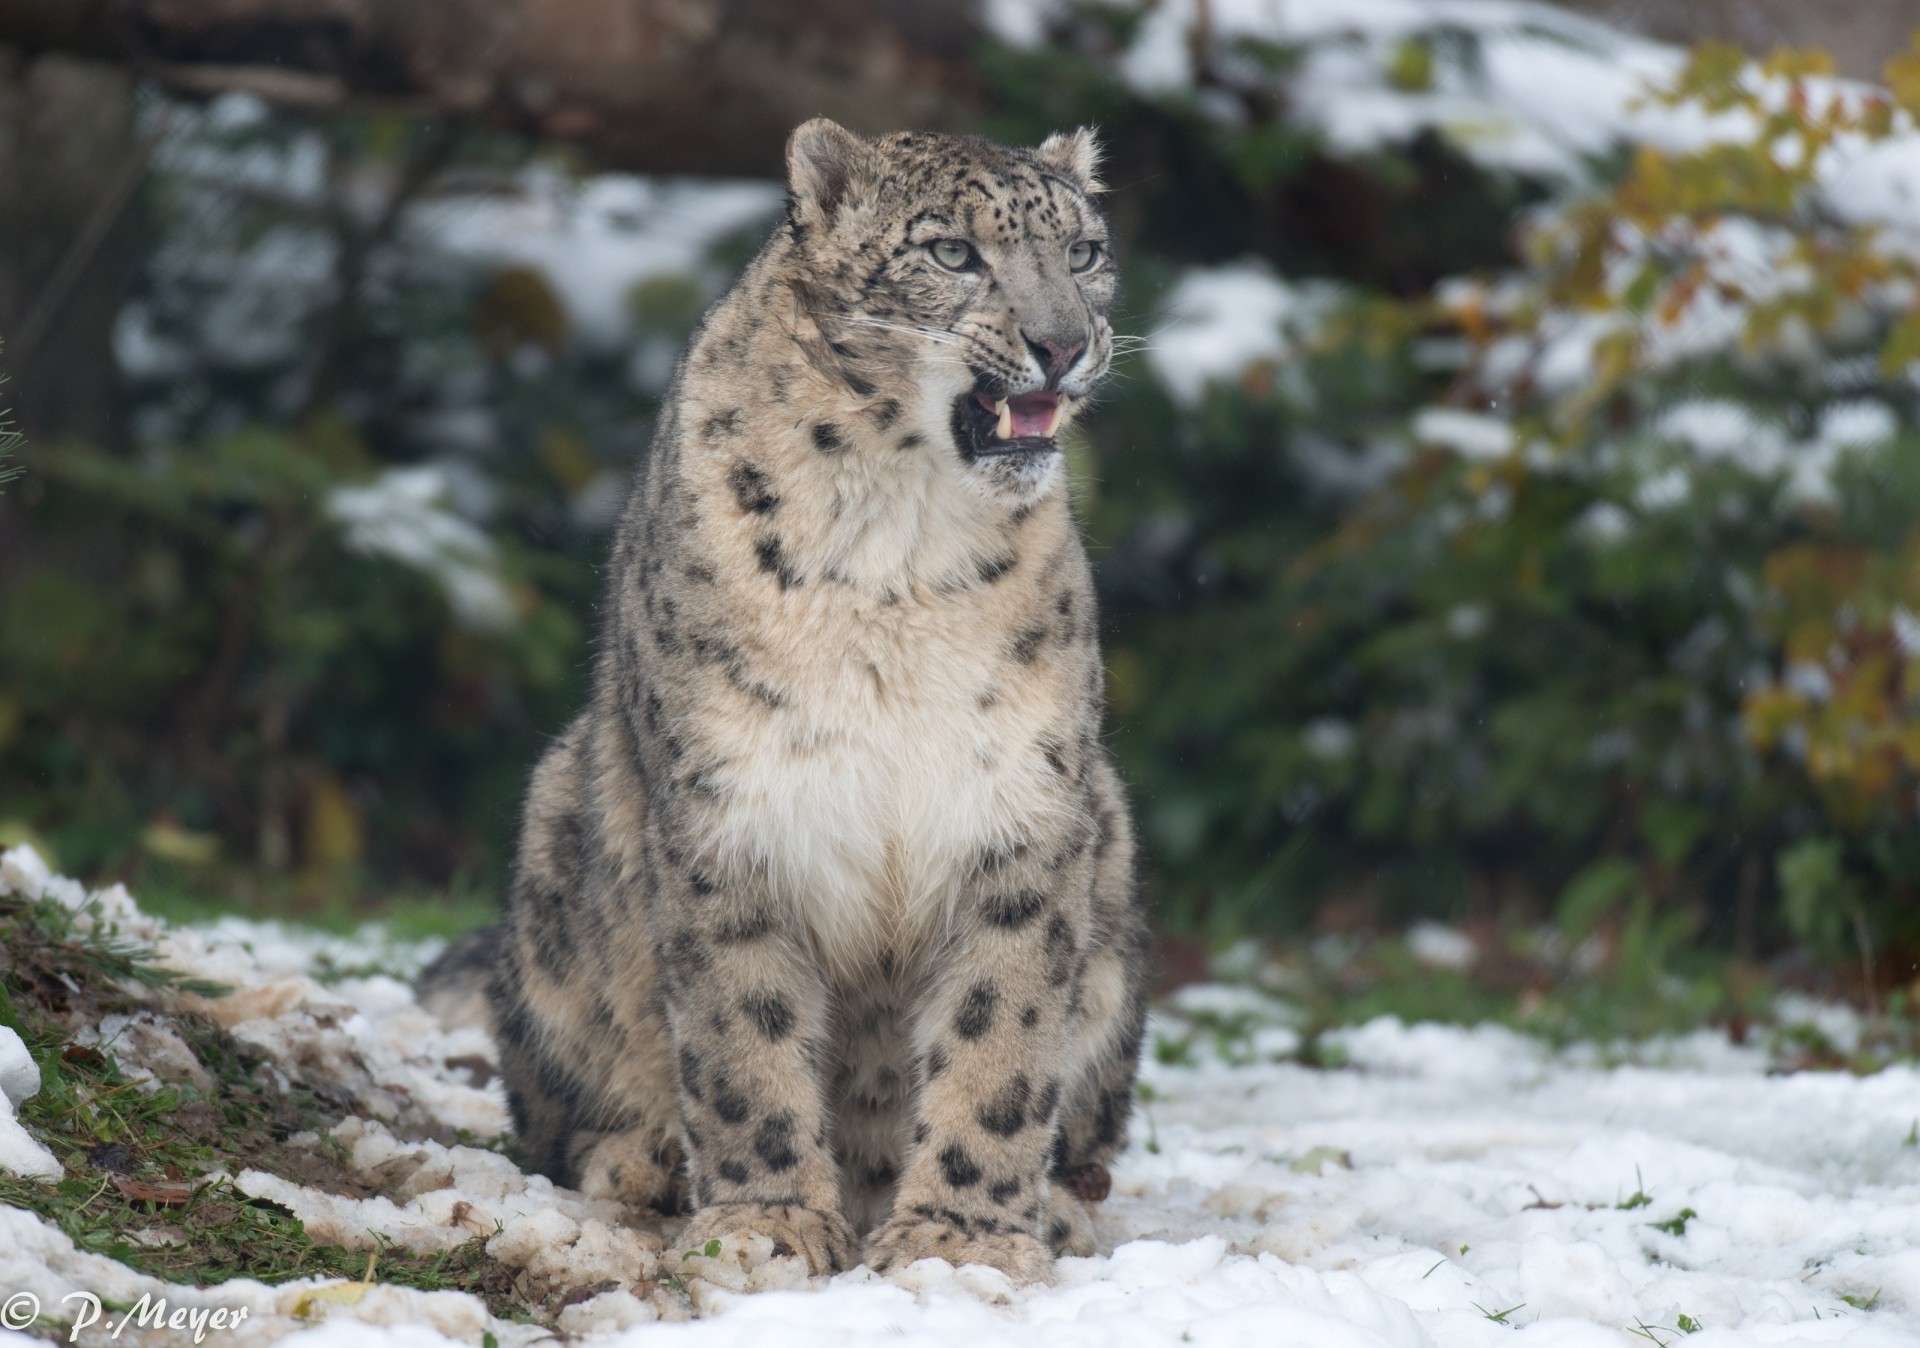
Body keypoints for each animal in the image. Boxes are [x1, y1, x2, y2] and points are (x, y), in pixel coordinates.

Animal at [419, 117, 1151, 1286]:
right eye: (953, 252)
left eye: (1083, 252)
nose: (1065, 343)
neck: (903, 544)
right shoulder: (734, 807)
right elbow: (742, 1032)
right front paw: (767, 1223)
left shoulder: (1020, 809)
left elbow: (1002, 1032)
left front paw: (965, 1239)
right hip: (557, 834)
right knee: (552, 1111)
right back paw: (641, 1158)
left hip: (1111, 842)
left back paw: (1060, 1209)